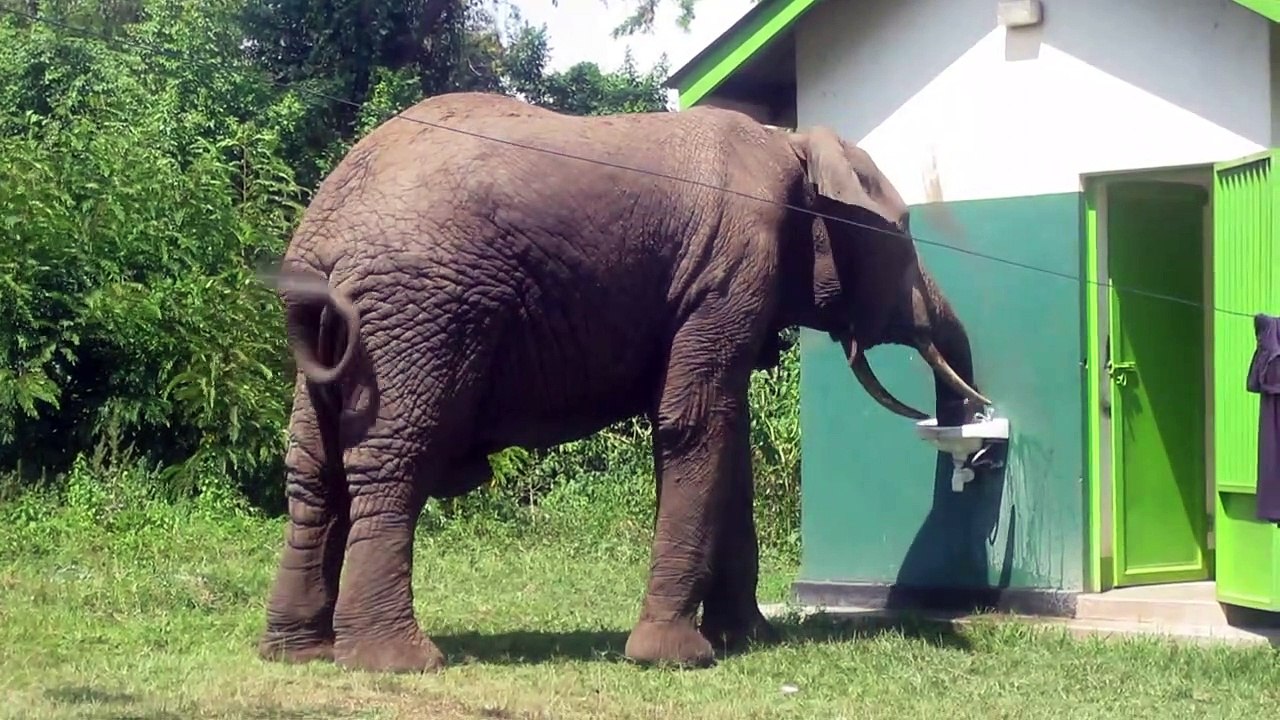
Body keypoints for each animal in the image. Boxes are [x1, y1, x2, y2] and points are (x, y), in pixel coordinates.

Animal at [256, 91, 990, 674]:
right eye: (903, 234)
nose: (976, 445)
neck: (793, 142)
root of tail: (320, 236)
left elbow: (722, 438)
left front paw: (748, 639)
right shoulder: (729, 267)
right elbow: (694, 423)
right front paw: (675, 658)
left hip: (344, 336)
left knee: (313, 471)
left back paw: (300, 653)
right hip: (421, 314)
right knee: (395, 458)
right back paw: (396, 663)